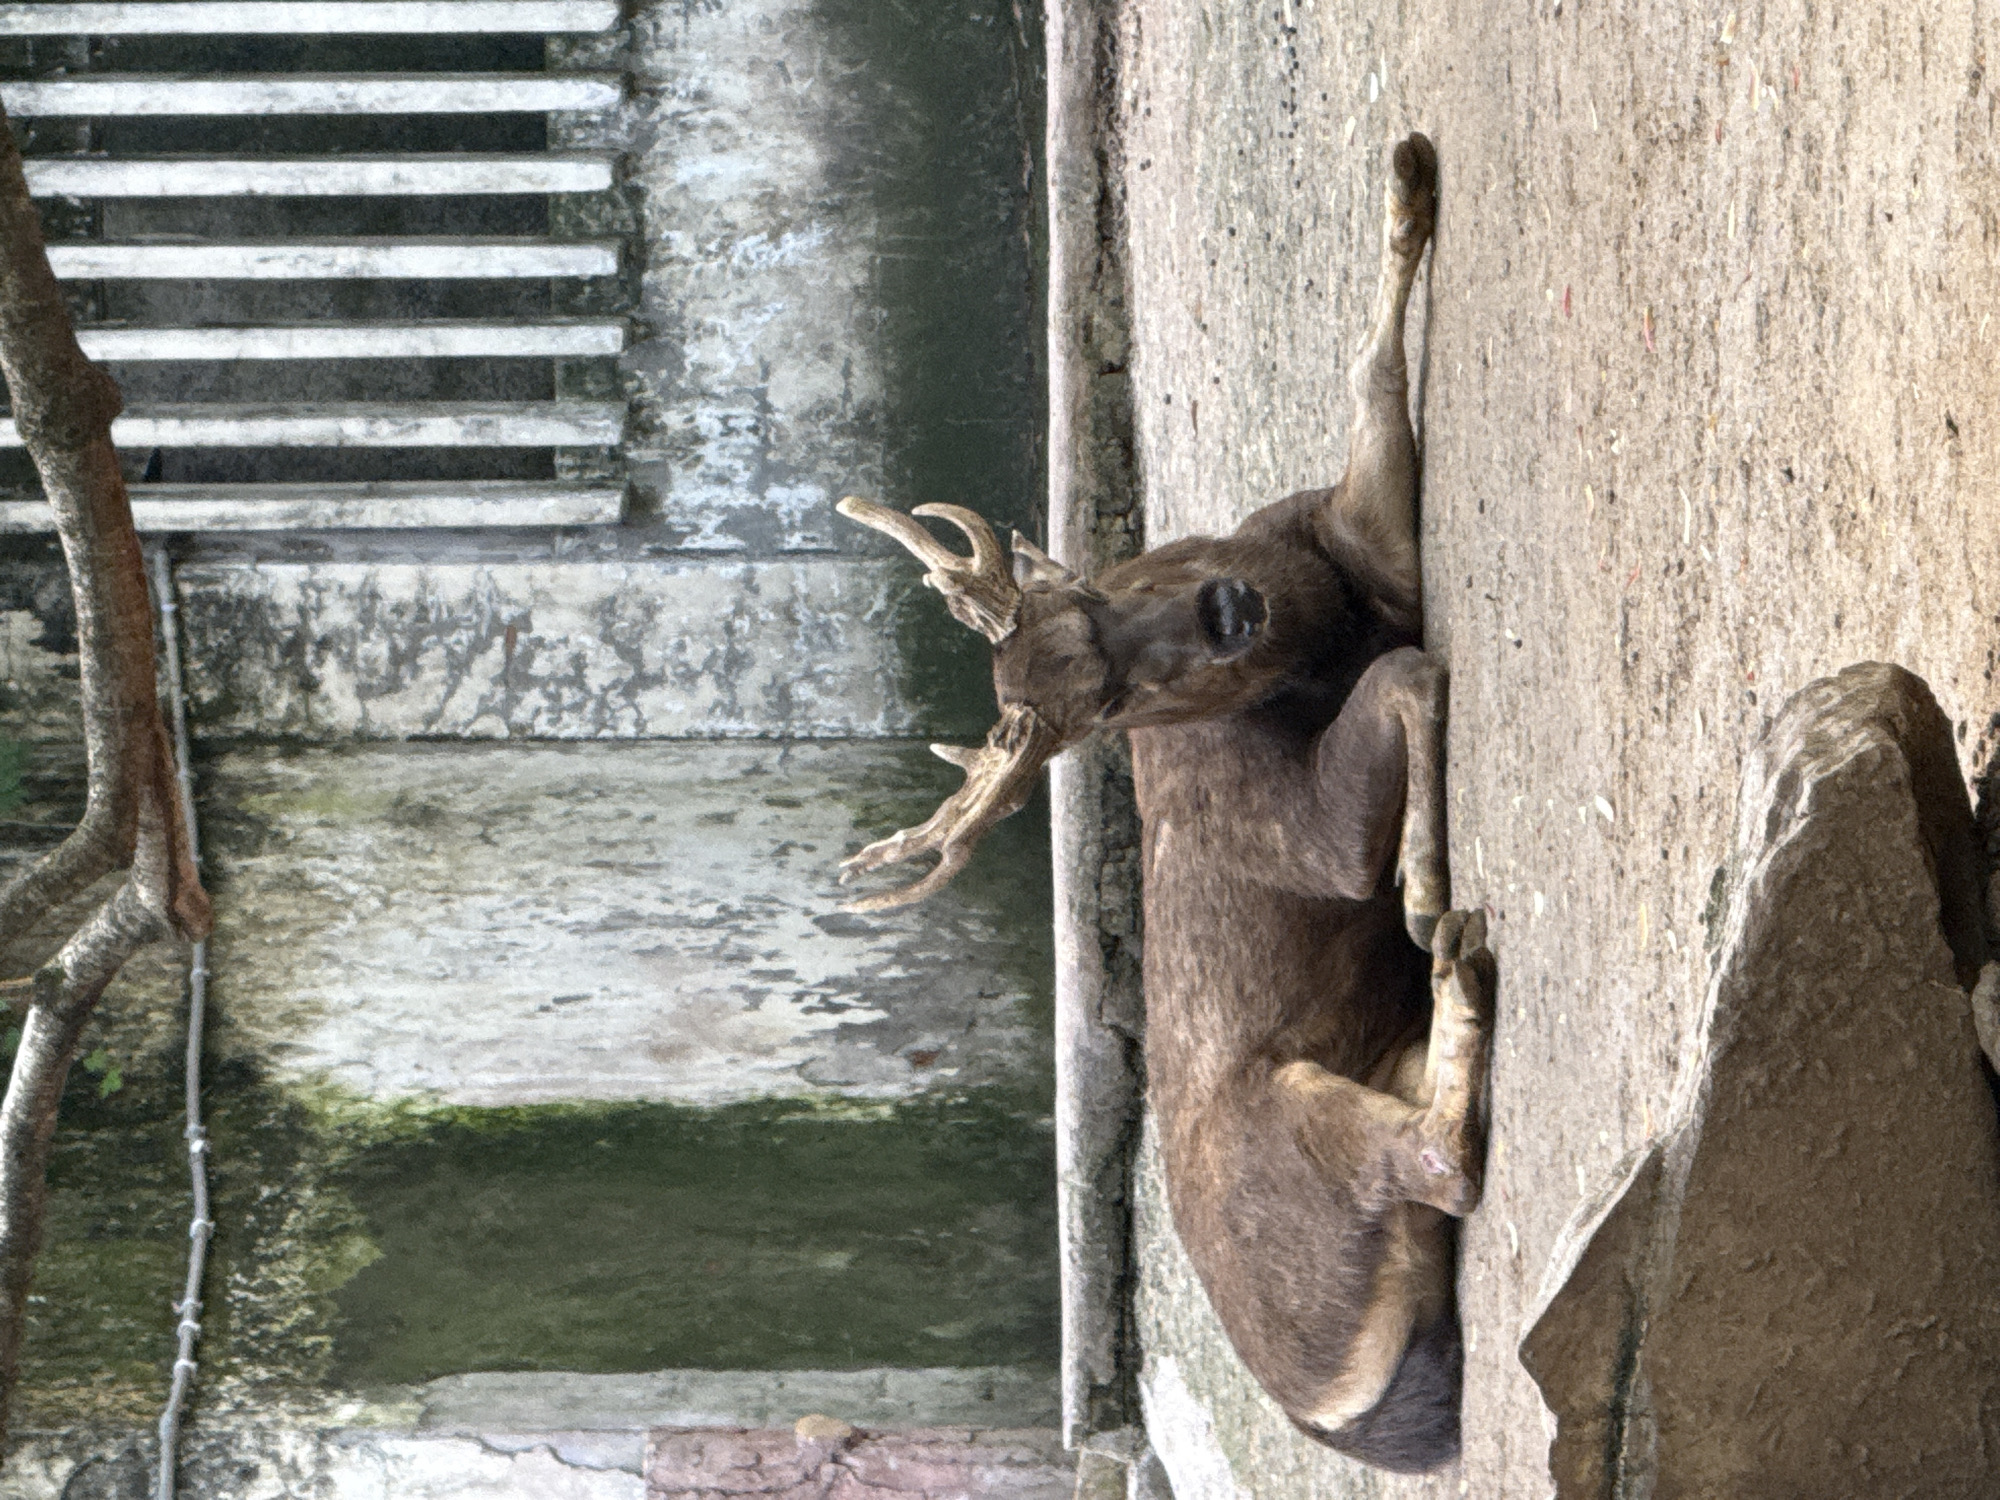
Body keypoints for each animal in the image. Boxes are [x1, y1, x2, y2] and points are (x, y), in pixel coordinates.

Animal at [835, 131, 1493, 1474]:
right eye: (1113, 709)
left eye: (1088, 597)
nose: (1225, 609)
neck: (1312, 631)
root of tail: (1341, 1408)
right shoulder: (1297, 823)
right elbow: (1407, 679)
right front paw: (1415, 881)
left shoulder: (1354, 543)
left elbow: (1365, 380)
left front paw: (1408, 177)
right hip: (1304, 1121)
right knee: (1436, 1161)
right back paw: (1452, 949)